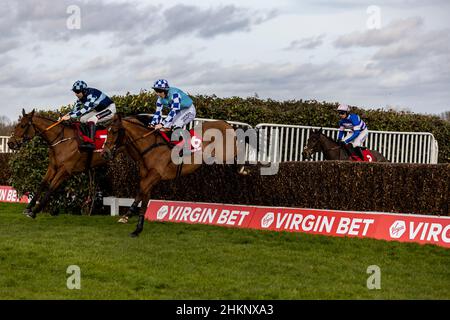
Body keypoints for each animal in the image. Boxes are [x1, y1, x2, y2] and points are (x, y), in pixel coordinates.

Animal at [102, 114, 246, 236]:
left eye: (114, 131)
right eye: (106, 131)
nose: (104, 153)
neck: (149, 146)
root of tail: (225, 123)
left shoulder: (155, 174)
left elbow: (141, 189)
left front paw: (127, 215)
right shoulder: (149, 178)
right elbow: (144, 198)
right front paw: (137, 229)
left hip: (224, 154)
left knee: (235, 157)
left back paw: (243, 169)